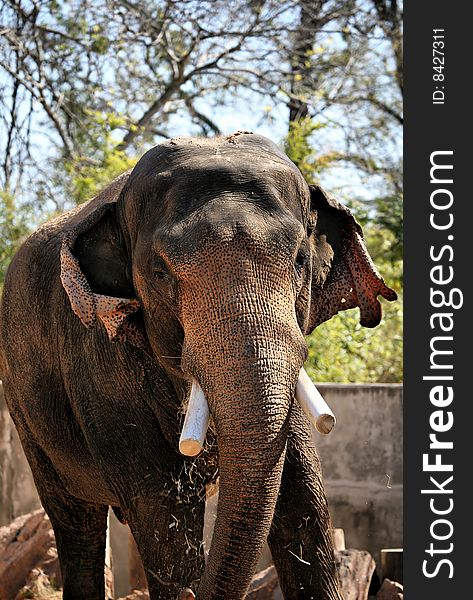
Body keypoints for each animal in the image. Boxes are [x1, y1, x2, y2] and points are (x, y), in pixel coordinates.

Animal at [0, 132, 396, 600]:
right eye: (160, 273)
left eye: (301, 259)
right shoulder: (101, 367)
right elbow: (163, 517)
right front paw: (183, 577)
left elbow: (303, 499)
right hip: (25, 416)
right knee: (77, 523)